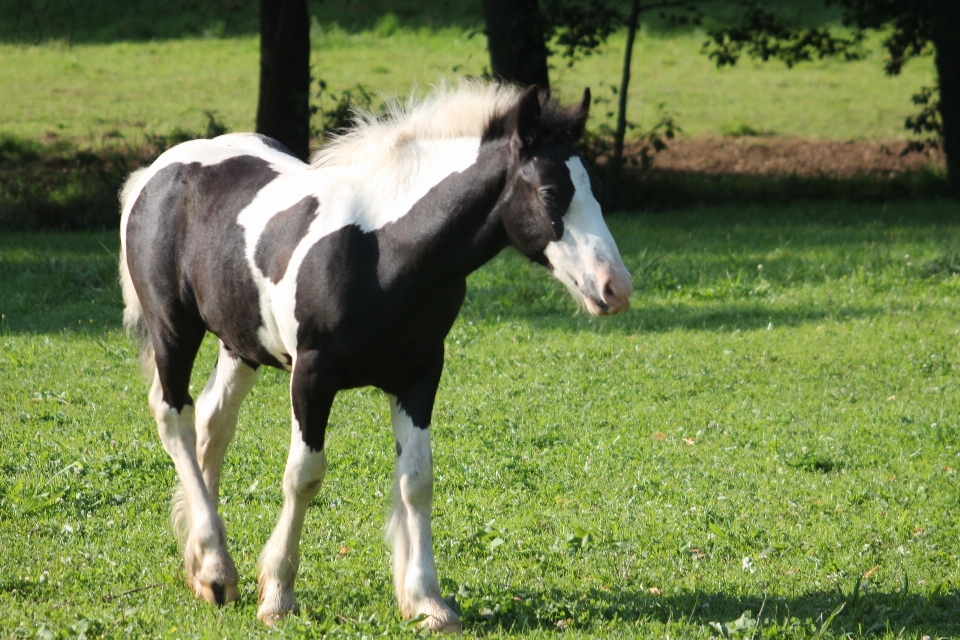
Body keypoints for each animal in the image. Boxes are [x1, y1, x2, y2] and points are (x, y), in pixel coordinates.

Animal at [118, 81, 632, 632]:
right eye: (552, 192)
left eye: (597, 188)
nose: (616, 288)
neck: (385, 252)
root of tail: (155, 173)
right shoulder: (312, 376)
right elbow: (303, 476)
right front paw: (277, 595)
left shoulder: (420, 375)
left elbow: (417, 480)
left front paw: (427, 601)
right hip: (174, 329)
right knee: (174, 416)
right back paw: (216, 569)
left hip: (240, 343)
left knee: (213, 423)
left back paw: (204, 567)